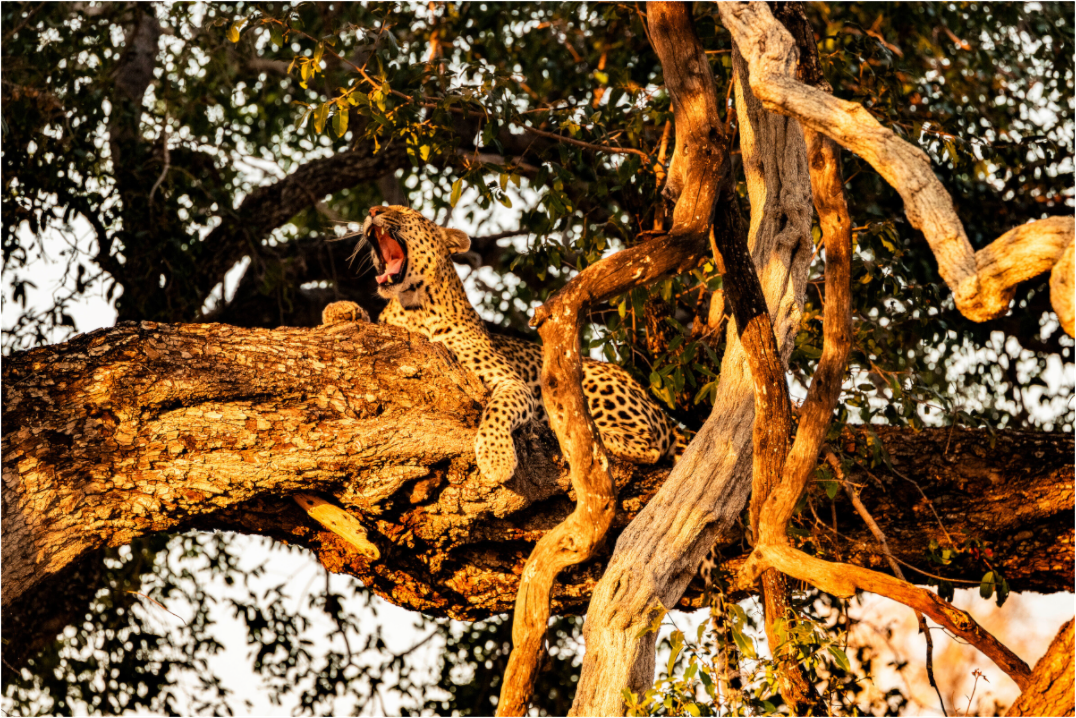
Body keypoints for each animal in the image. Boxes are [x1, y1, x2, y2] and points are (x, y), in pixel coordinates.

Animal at [321, 205, 683, 485]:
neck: (414, 308)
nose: (372, 211)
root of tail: (658, 409)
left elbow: (497, 410)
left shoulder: (510, 383)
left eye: (409, 214)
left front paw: (496, 458)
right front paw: (339, 309)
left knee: (644, 445)